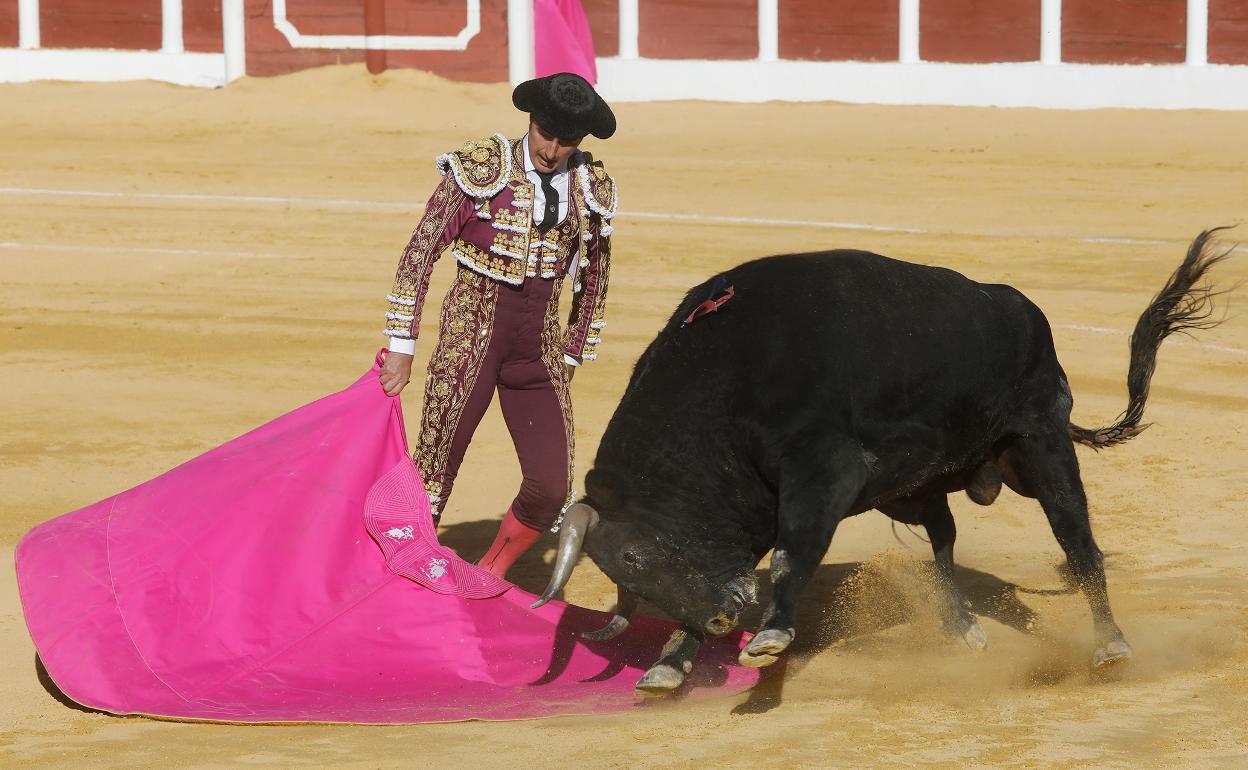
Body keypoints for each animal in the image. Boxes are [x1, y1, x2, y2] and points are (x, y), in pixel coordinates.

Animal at [534, 229, 1228, 698]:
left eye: (633, 556)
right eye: (625, 573)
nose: (721, 621)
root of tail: (1024, 312)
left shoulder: (822, 473)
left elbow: (790, 556)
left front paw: (768, 638)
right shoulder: (748, 511)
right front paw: (671, 661)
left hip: (1041, 448)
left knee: (1079, 543)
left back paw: (1110, 645)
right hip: (915, 488)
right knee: (945, 539)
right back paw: (963, 628)